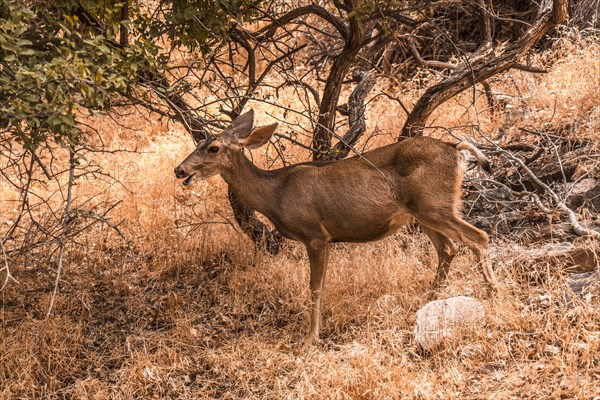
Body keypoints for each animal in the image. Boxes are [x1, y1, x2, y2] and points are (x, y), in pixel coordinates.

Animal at [176, 110, 500, 344]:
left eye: (213, 147)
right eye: (198, 143)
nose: (180, 170)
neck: (275, 194)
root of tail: (455, 149)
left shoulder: (315, 235)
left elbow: (315, 287)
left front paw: (311, 338)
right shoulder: (329, 239)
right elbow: (322, 284)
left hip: (433, 204)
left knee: (478, 237)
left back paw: (494, 296)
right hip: (422, 211)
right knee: (448, 249)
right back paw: (429, 299)